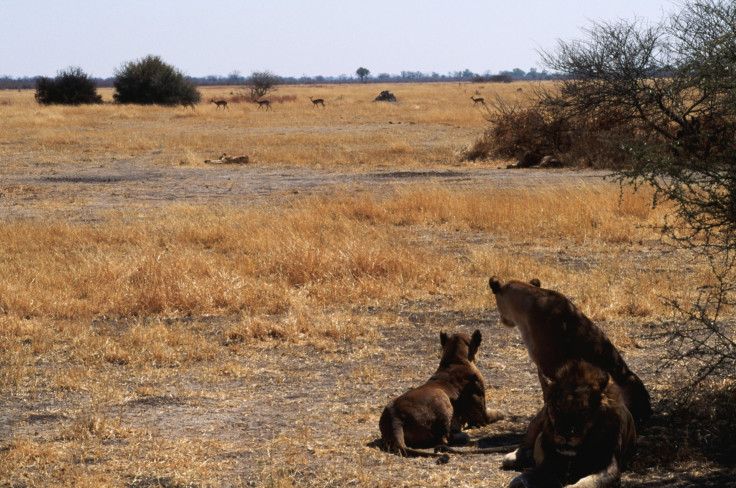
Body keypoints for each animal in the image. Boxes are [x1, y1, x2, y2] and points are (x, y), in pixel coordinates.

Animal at [380, 330, 506, 460]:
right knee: (445, 438)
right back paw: (463, 436)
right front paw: (502, 413)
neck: (455, 361)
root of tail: (395, 417)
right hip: (441, 397)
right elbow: (494, 414)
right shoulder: (481, 415)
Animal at [506, 360, 640, 486]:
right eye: (557, 407)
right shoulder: (551, 461)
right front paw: (520, 481)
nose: (565, 435)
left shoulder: (609, 467)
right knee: (523, 445)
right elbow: (535, 473)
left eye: (583, 410)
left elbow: (589, 483)